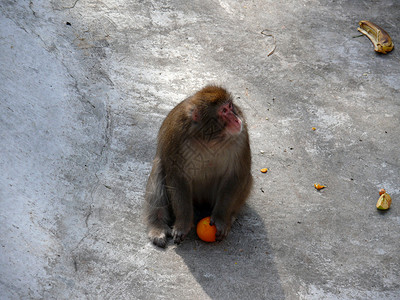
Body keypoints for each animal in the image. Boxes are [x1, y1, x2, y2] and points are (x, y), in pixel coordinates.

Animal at [144, 85, 252, 247]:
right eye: (224, 111)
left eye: (230, 106)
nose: (236, 118)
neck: (210, 138)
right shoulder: (176, 136)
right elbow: (177, 177)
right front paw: (183, 224)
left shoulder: (242, 135)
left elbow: (236, 175)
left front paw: (221, 219)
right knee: (159, 168)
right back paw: (157, 226)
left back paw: (231, 216)